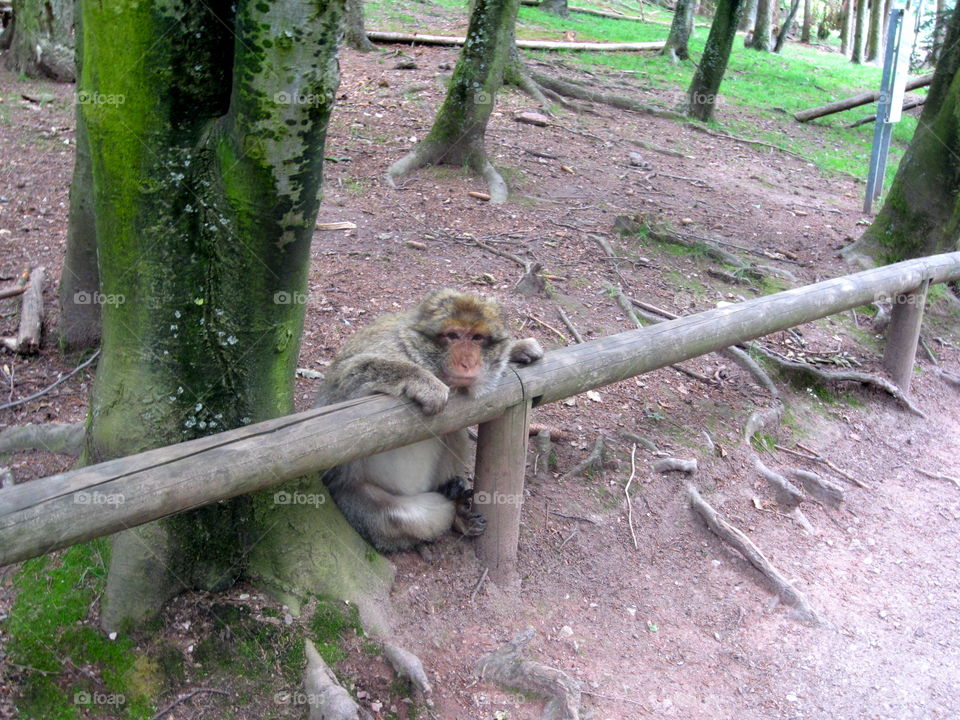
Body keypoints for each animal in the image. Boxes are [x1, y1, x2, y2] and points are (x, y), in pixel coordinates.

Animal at [314, 289, 544, 553]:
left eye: (476, 338)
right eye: (453, 336)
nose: (467, 363)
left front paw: (518, 348)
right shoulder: (390, 348)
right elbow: (339, 393)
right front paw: (424, 382)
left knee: (453, 433)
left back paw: (456, 506)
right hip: (354, 496)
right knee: (394, 517)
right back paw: (452, 506)